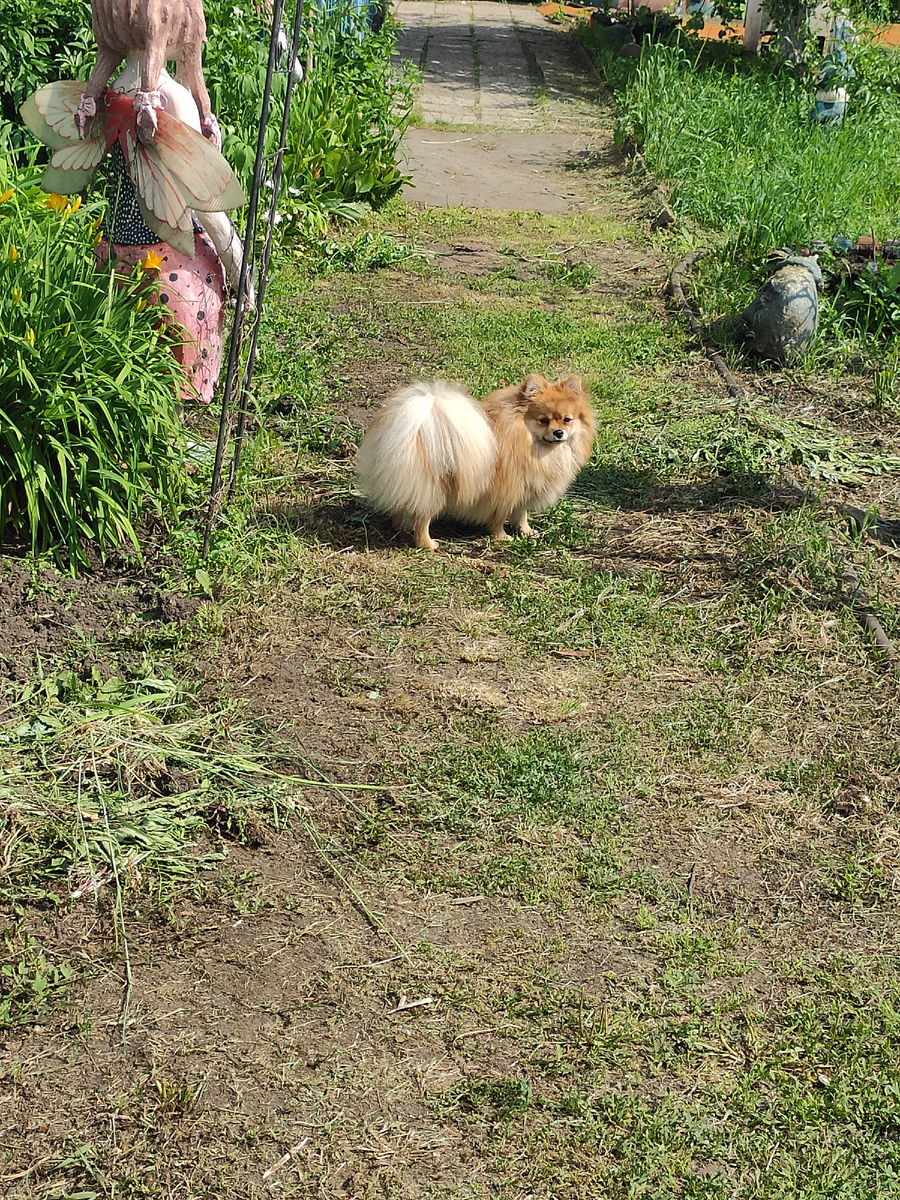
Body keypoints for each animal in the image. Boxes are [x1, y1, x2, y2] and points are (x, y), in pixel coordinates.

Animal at [355, 372, 595, 549]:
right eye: (543, 420)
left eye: (567, 420)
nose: (558, 433)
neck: (525, 439)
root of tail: (414, 428)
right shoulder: (507, 490)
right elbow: (499, 518)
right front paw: (502, 537)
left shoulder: (524, 490)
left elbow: (521, 514)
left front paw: (526, 531)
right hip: (435, 488)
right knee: (423, 517)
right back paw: (428, 543)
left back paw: (402, 526)